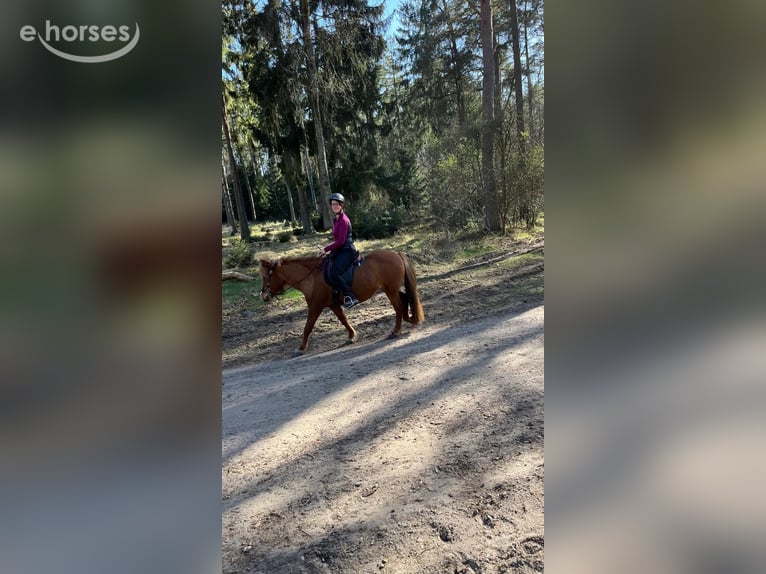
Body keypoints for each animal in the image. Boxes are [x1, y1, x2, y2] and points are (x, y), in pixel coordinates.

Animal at [259, 250, 424, 354]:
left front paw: (301, 348)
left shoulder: (316, 306)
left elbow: (307, 327)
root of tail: (396, 254)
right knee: (405, 298)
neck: (311, 278)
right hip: (391, 289)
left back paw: (396, 331)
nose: (264, 296)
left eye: (266, 277)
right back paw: (409, 319)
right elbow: (344, 320)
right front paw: (351, 336)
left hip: (390, 290)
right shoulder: (333, 305)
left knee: (398, 306)